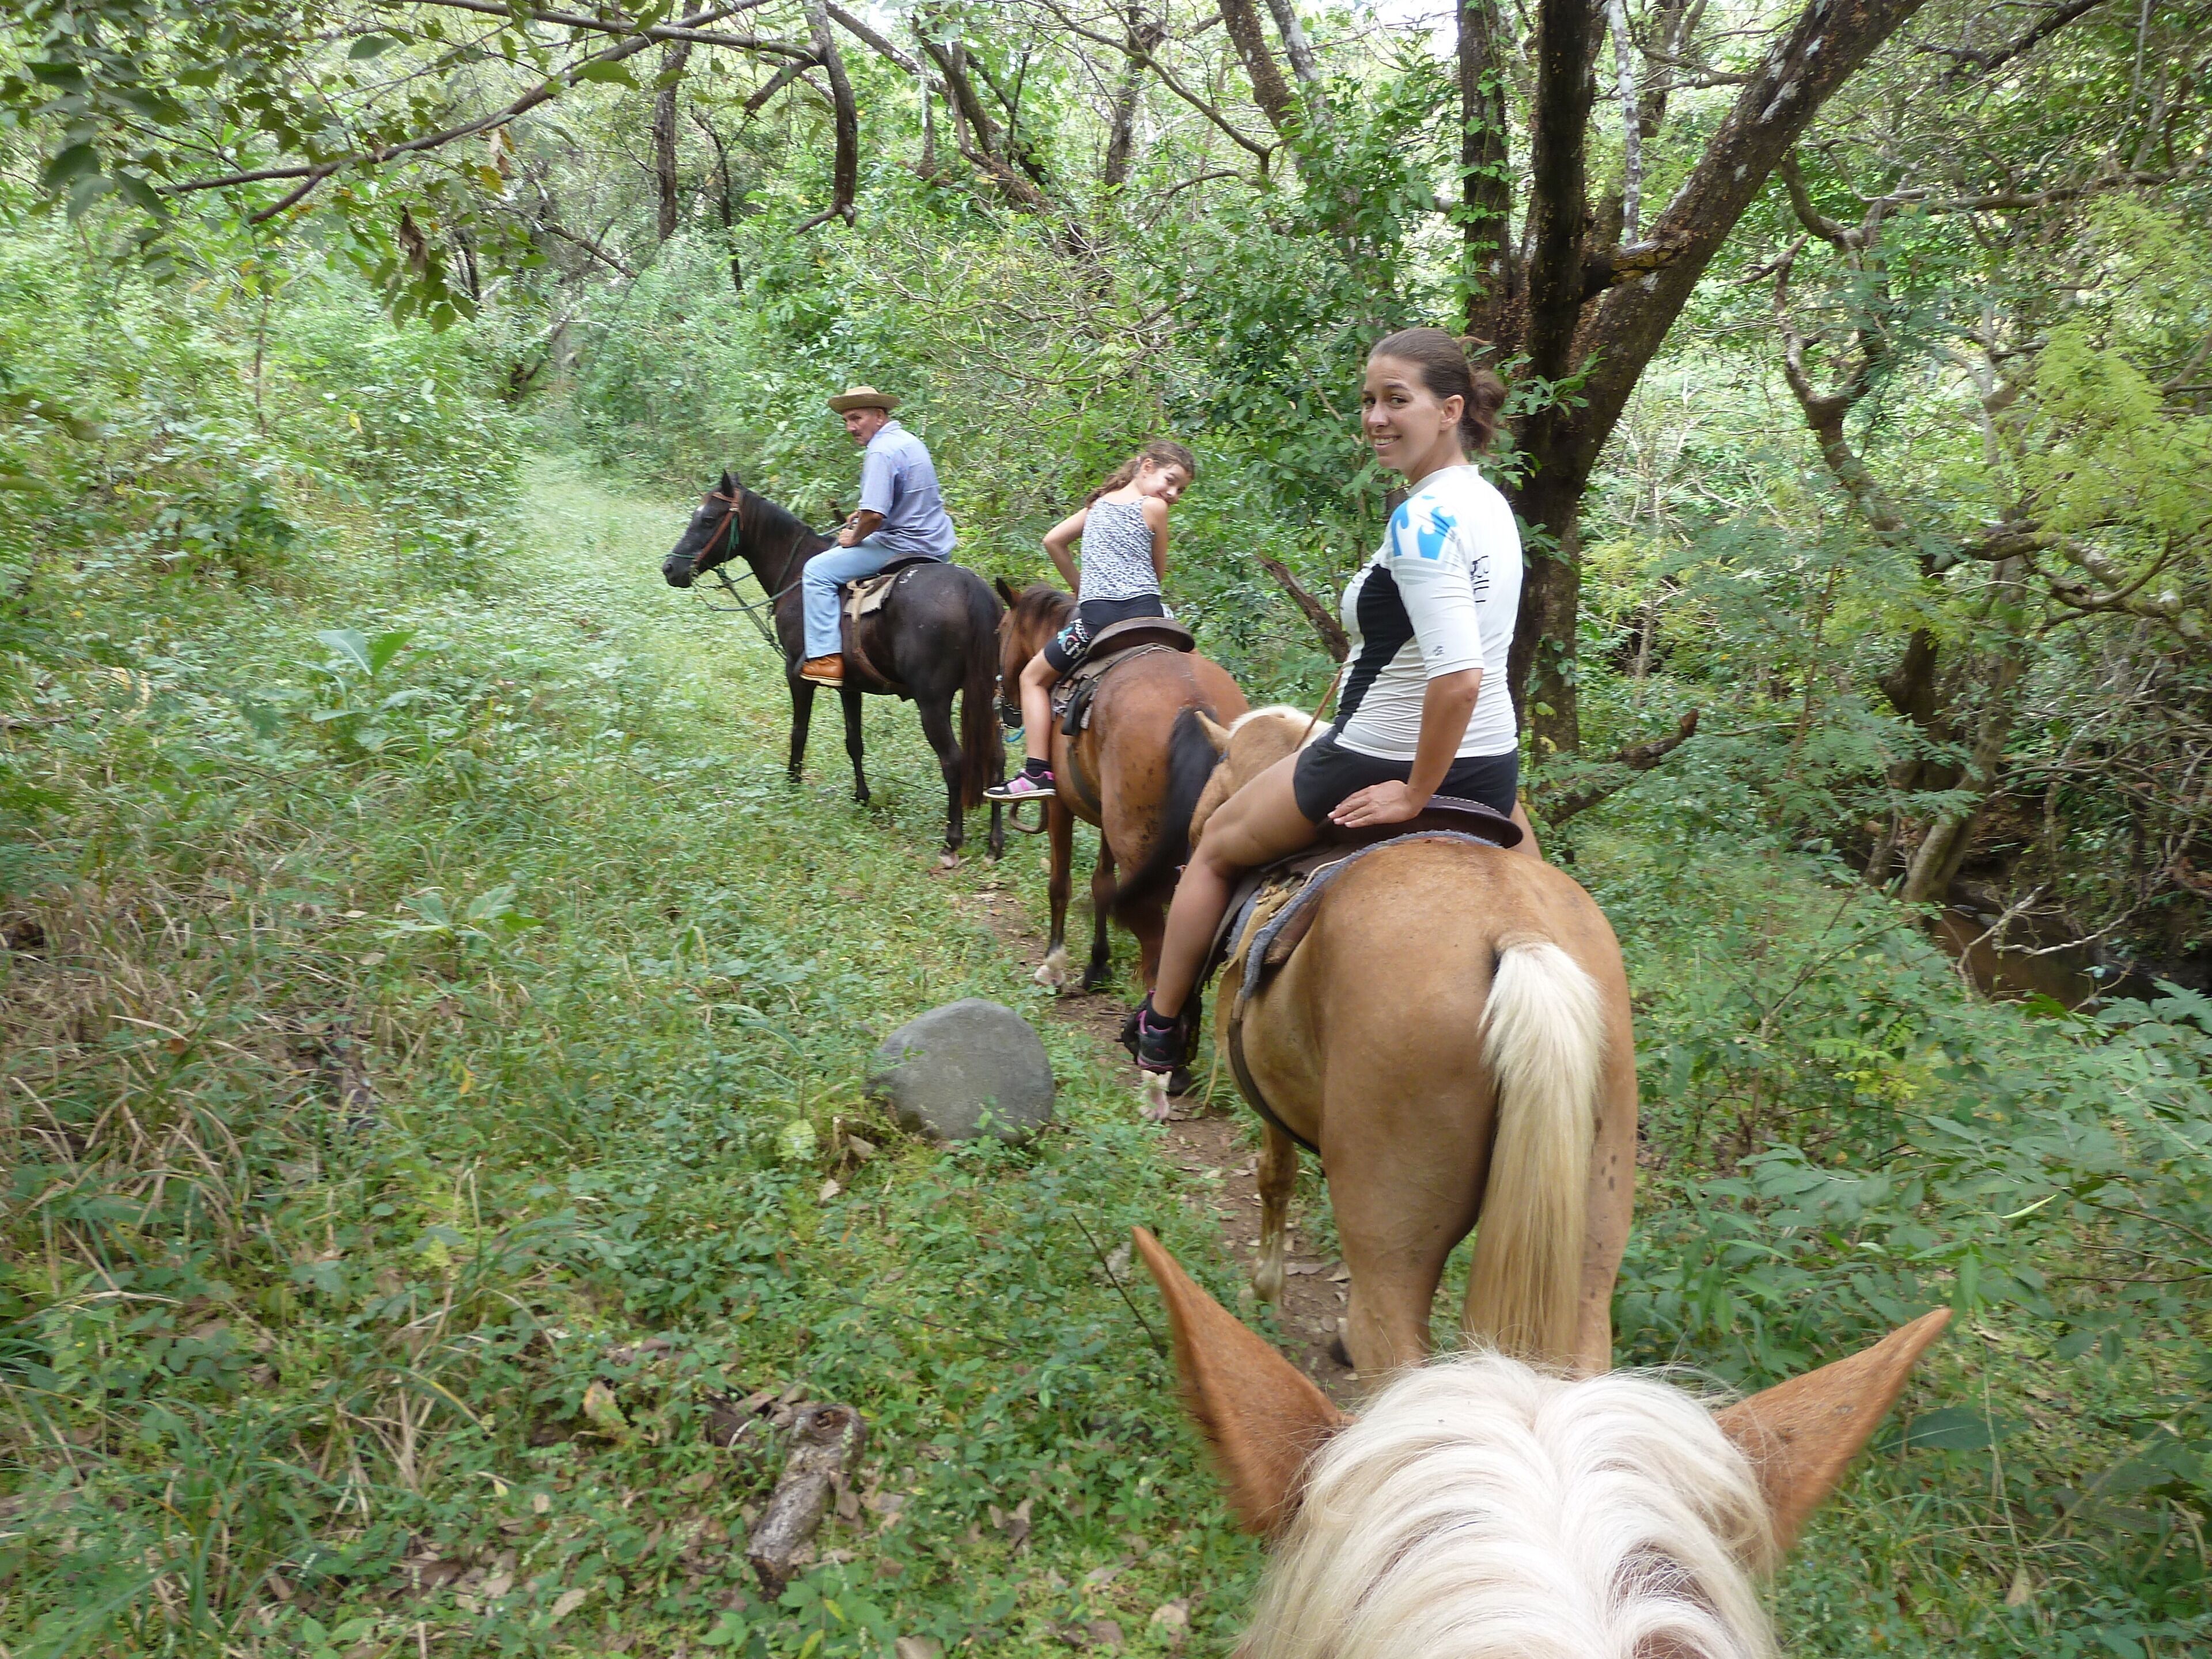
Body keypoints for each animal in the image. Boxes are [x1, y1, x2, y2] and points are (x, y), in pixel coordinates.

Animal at [663, 470, 1005, 865]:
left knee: (953, 761)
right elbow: (854, 742)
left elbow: (799, 733)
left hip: (932, 702)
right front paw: (862, 798)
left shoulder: (796, 675)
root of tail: (973, 589)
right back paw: (995, 843)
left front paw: (792, 787)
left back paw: (952, 840)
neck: (796, 572)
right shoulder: (850, 684)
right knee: (997, 758)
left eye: (707, 519)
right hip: (988, 695)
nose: (671, 568)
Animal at [993, 582, 1248, 1051]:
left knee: (1157, 945)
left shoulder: (1061, 805)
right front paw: (1097, 967)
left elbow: (1061, 884)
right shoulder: (1106, 818)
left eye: (1001, 630)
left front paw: (1054, 966)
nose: (1003, 704)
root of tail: (1196, 706)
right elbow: (1101, 885)